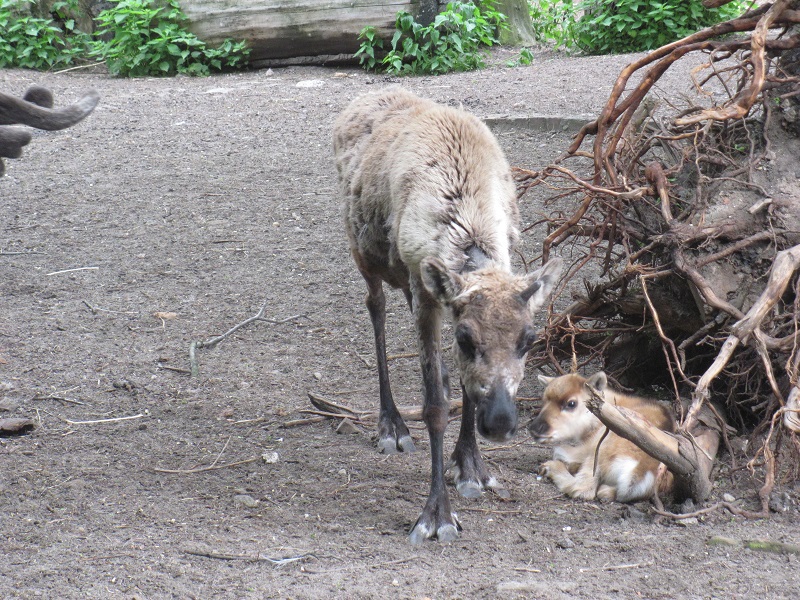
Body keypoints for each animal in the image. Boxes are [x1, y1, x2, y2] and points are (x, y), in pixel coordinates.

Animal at [333, 87, 562, 544]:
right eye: (466, 338)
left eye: (529, 340)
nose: (500, 423)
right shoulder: (427, 296)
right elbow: (435, 407)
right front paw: (436, 515)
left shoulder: (435, 291)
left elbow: (464, 387)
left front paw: (471, 466)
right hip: (363, 254)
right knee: (375, 307)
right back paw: (392, 426)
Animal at [528, 371, 676, 502]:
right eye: (544, 400)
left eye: (571, 403)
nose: (534, 429)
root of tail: (640, 470)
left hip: (599, 451)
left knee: (582, 488)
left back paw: (549, 467)